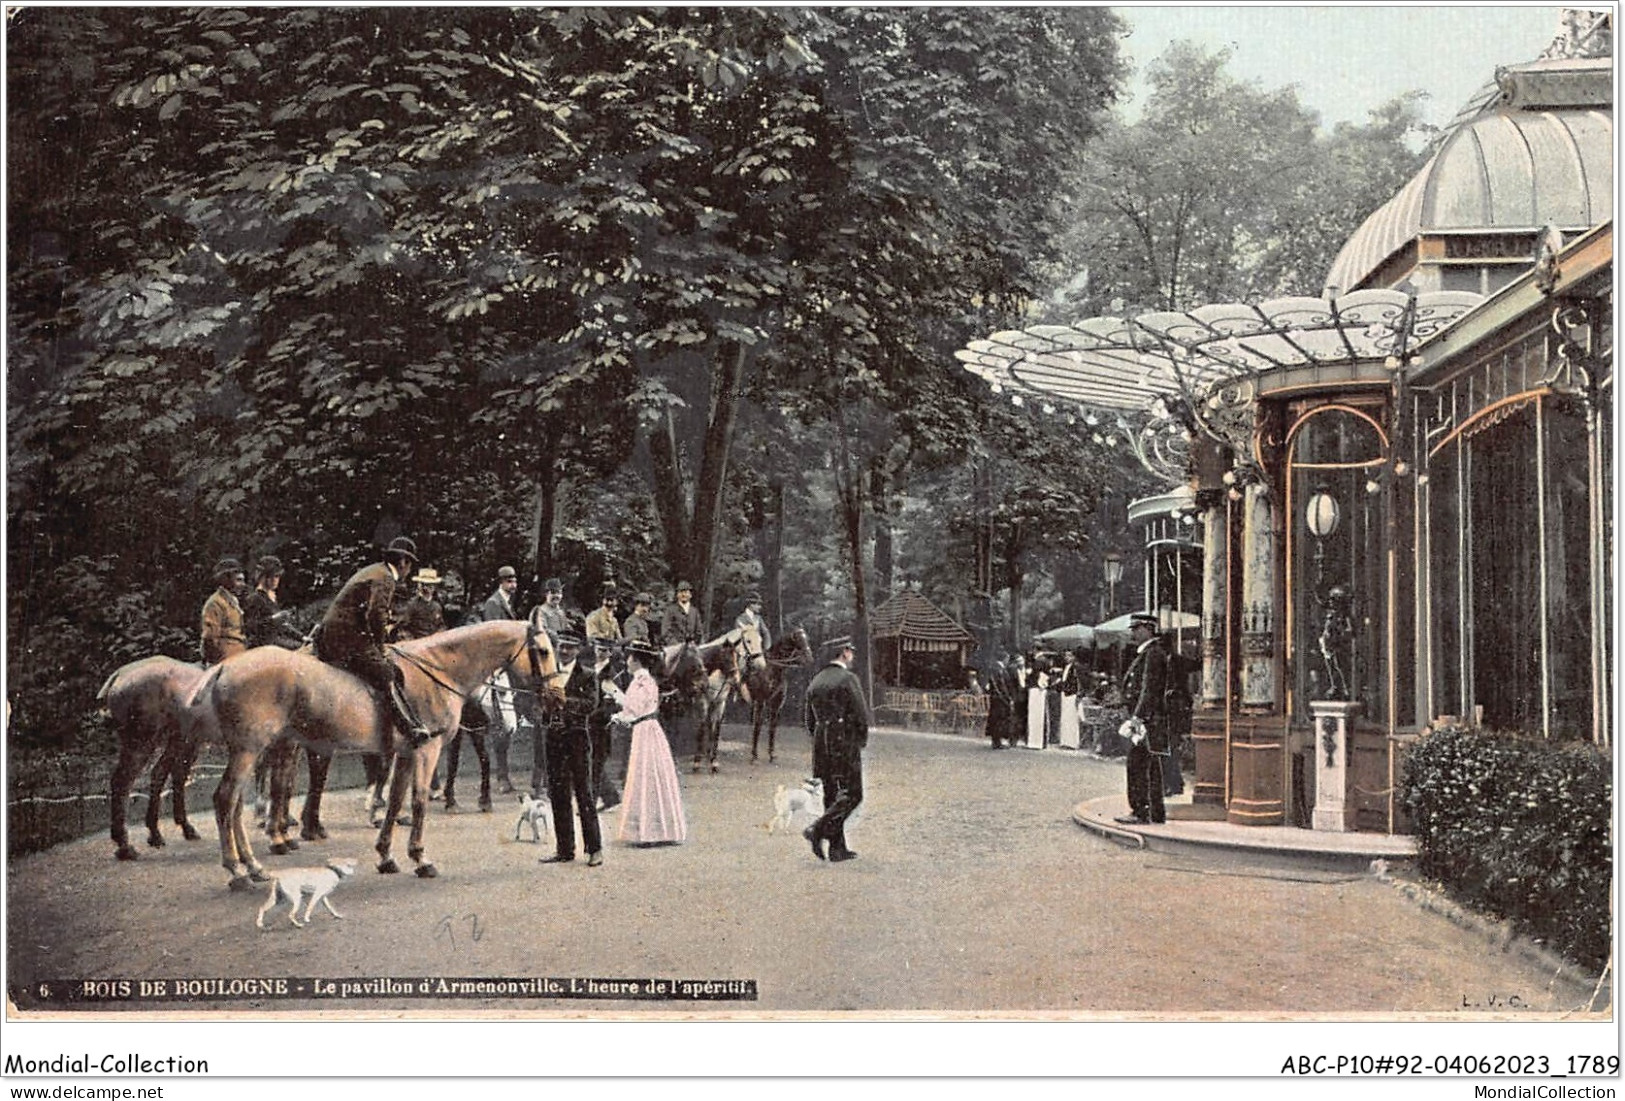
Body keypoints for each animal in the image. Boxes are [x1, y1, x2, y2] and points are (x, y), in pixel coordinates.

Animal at [100, 656, 212, 863]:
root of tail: (118, 677)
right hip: (145, 742)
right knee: (124, 781)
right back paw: (125, 845)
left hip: (174, 740)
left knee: (162, 773)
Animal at [190, 620, 565, 889]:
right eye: (542, 651)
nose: (557, 698)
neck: (439, 669)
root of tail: (225, 667)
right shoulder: (426, 750)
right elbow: (418, 801)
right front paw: (420, 858)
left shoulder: (406, 752)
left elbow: (396, 800)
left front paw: (386, 855)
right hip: (251, 750)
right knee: (226, 799)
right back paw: (239, 870)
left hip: (251, 750)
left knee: (238, 805)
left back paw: (254, 865)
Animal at [744, 630, 819, 766]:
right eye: (799, 641)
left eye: (807, 639)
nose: (809, 658)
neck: (771, 668)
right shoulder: (760, 701)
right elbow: (757, 726)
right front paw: (754, 756)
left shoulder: (776, 704)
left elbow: (772, 727)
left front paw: (772, 755)